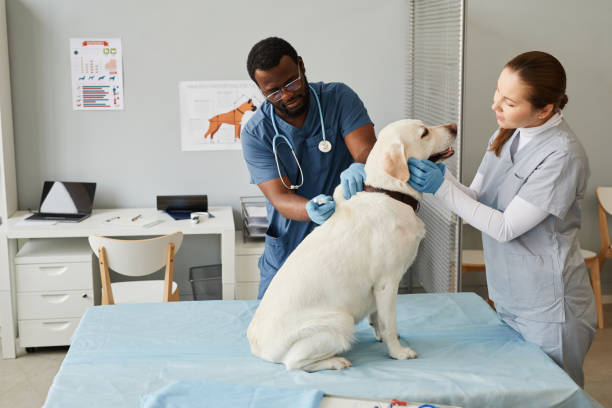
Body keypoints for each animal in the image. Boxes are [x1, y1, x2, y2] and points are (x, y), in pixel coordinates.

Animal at [247, 118, 454, 372]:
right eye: (424, 133)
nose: (454, 127)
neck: (390, 193)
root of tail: (258, 347)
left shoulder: (378, 290)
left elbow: (378, 318)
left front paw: (380, 335)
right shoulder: (387, 283)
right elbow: (390, 323)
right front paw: (397, 352)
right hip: (341, 321)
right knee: (294, 364)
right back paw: (337, 361)